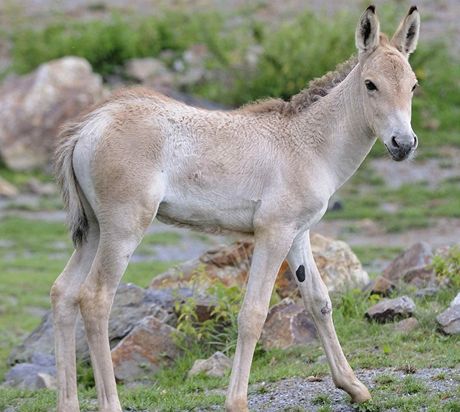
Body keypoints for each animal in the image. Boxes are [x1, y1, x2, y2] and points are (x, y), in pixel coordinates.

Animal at [54, 5, 420, 412]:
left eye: (413, 85)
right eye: (371, 84)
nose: (403, 144)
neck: (307, 145)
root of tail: (89, 126)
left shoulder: (298, 234)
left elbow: (318, 302)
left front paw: (354, 386)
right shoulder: (274, 233)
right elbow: (253, 313)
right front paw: (237, 401)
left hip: (94, 231)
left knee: (64, 293)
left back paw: (67, 404)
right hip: (123, 230)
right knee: (95, 298)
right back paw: (111, 403)